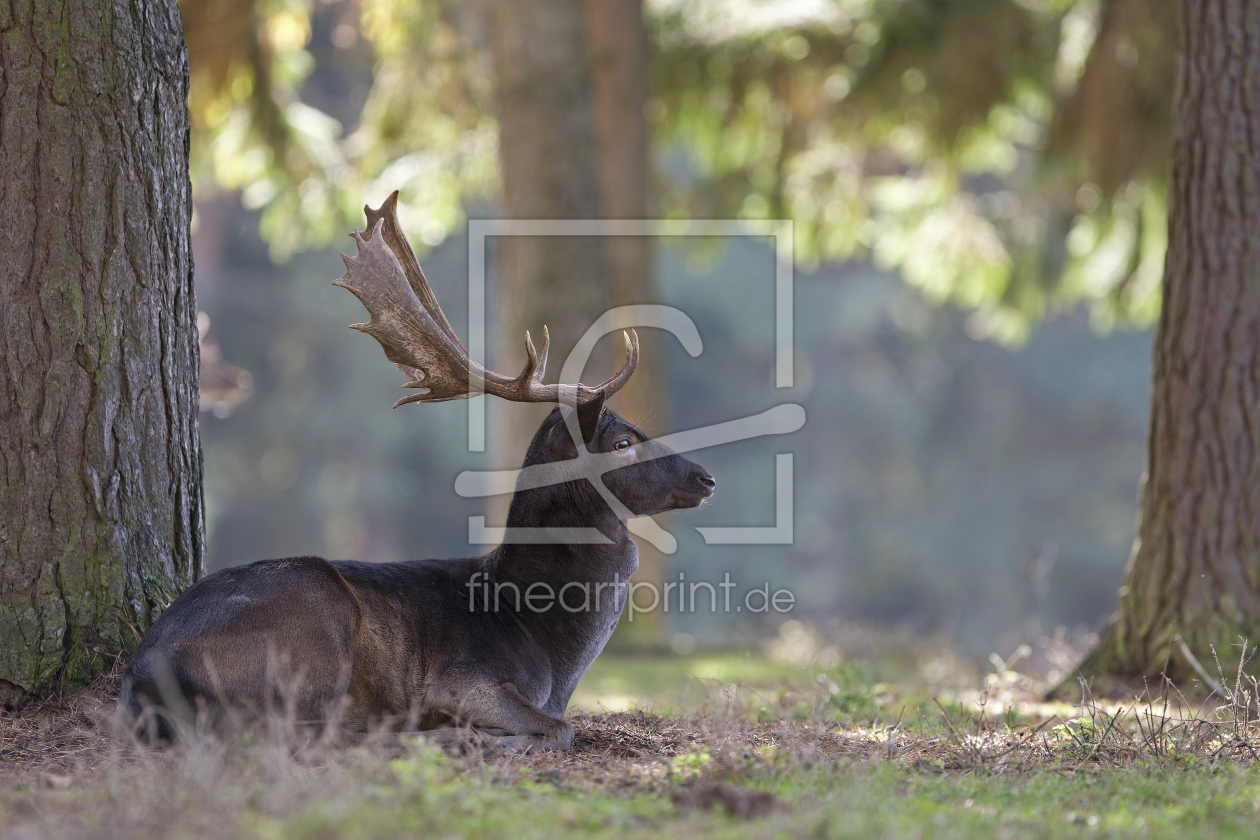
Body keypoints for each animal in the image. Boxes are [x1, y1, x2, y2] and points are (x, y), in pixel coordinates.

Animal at [121, 193, 715, 750]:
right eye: (622, 442)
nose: (706, 478)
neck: (544, 641)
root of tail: (140, 674)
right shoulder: (463, 679)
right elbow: (560, 728)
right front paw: (495, 738)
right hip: (316, 620)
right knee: (310, 732)